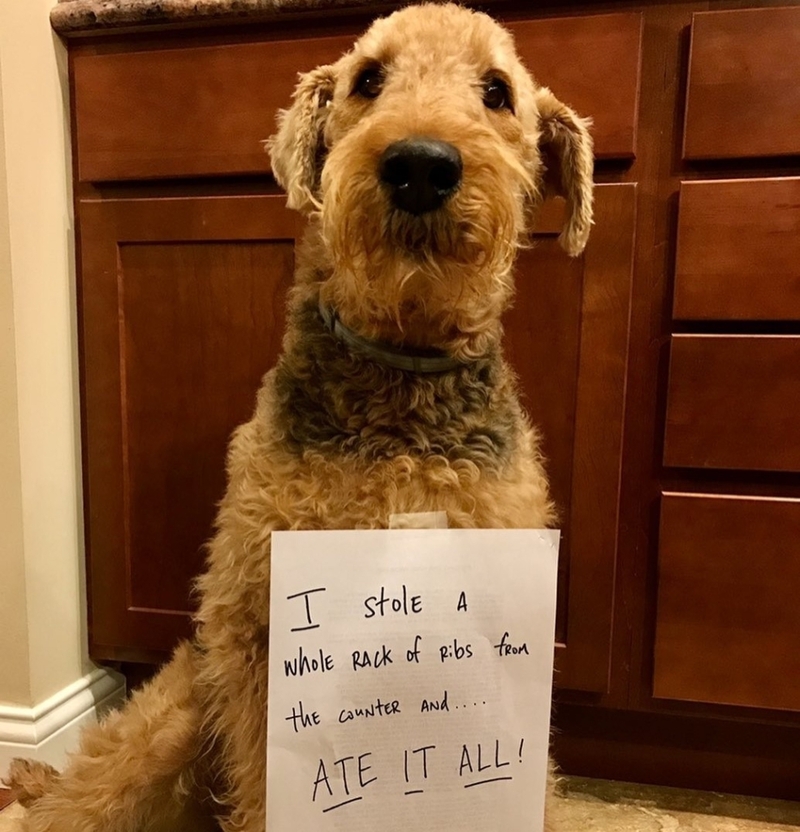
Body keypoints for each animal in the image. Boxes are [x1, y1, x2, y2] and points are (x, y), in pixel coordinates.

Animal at [6, 3, 592, 828]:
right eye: (368, 78)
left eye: (497, 91)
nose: (420, 165)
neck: (400, 389)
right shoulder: (260, 634)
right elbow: (263, 790)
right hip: (167, 725)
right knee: (71, 800)